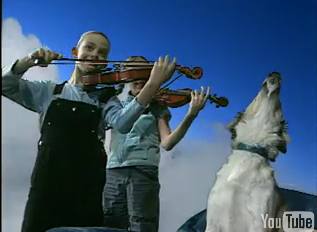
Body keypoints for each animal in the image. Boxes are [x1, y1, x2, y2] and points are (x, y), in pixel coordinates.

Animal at [204, 71, 290, 231]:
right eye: (254, 96)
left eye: (280, 104)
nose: (275, 73)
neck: (251, 150)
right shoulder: (213, 220)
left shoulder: (260, 221)